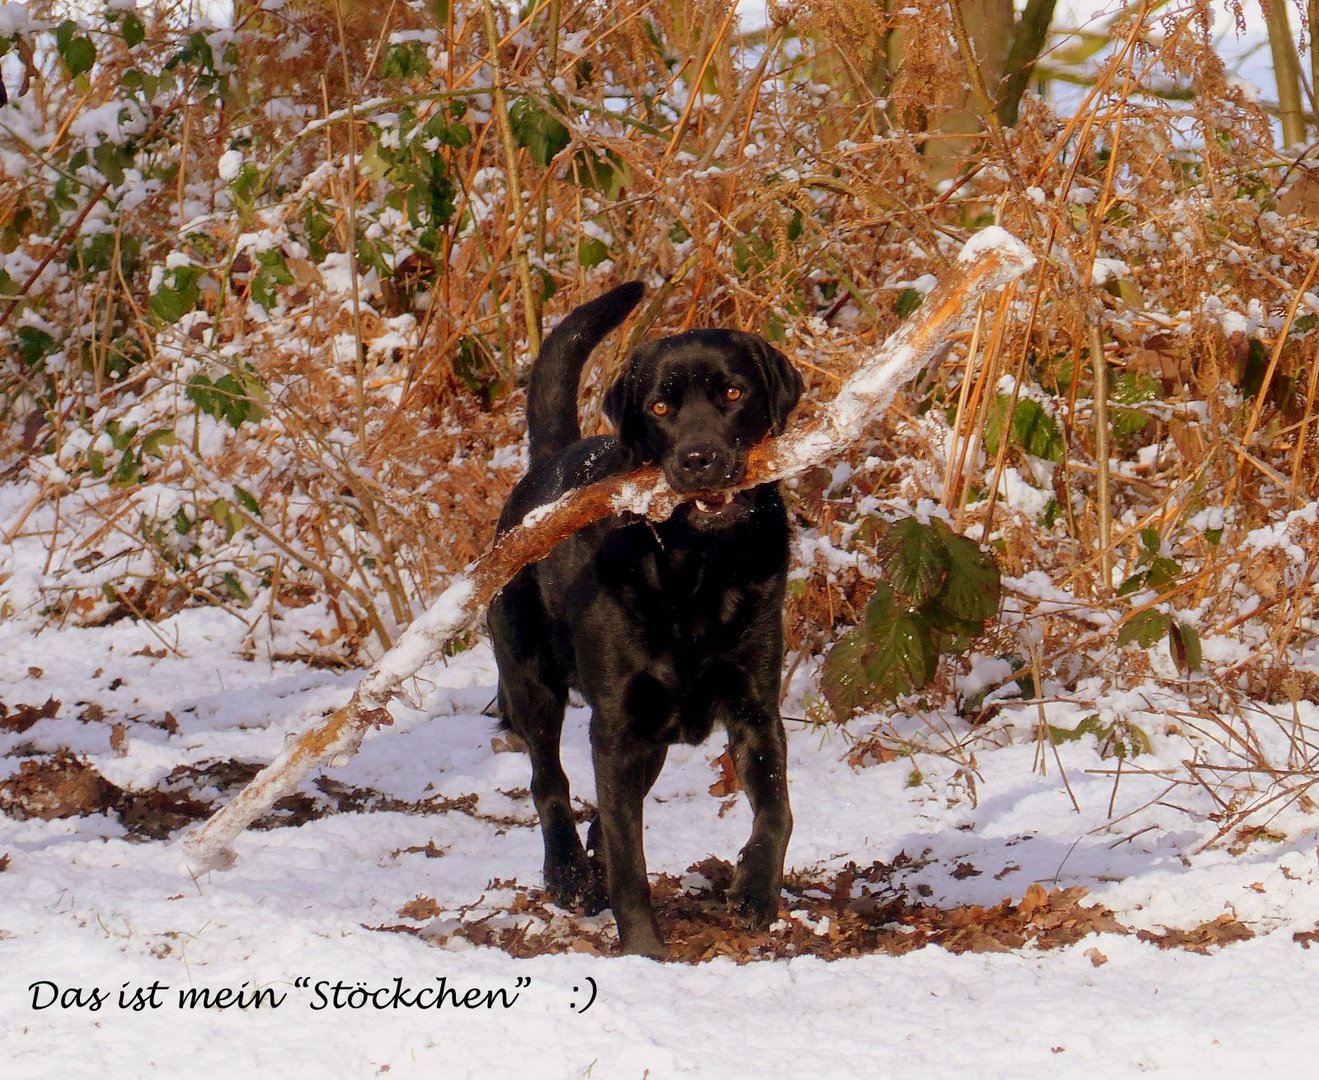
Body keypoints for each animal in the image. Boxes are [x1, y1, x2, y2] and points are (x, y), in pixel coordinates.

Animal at [490, 280, 801, 954]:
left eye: (733, 393)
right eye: (659, 407)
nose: (698, 458)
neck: (697, 571)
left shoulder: (755, 709)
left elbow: (778, 809)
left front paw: (755, 891)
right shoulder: (616, 727)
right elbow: (631, 863)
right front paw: (642, 953)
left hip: (651, 733)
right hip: (532, 681)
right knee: (548, 781)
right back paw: (569, 877)